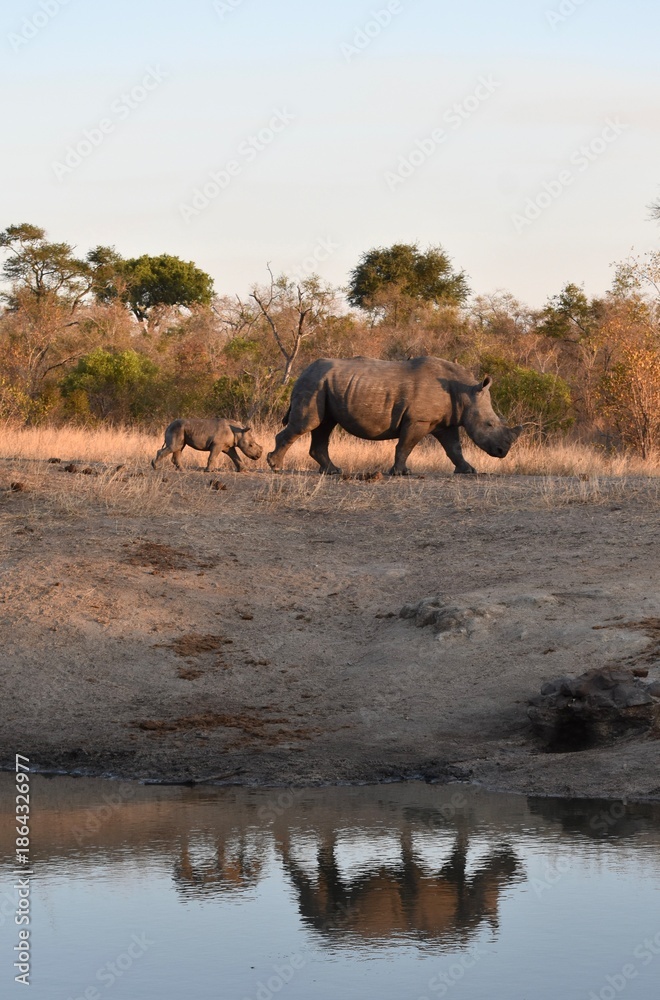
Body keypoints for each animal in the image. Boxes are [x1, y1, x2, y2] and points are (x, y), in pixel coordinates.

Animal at [267, 357, 522, 476]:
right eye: (489, 424)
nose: (503, 452)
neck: (465, 392)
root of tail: (302, 371)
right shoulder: (418, 420)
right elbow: (405, 445)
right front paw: (402, 473)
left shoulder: (444, 422)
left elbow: (454, 449)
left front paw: (468, 470)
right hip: (313, 383)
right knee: (307, 424)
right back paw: (275, 466)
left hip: (323, 384)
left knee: (324, 426)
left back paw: (333, 471)